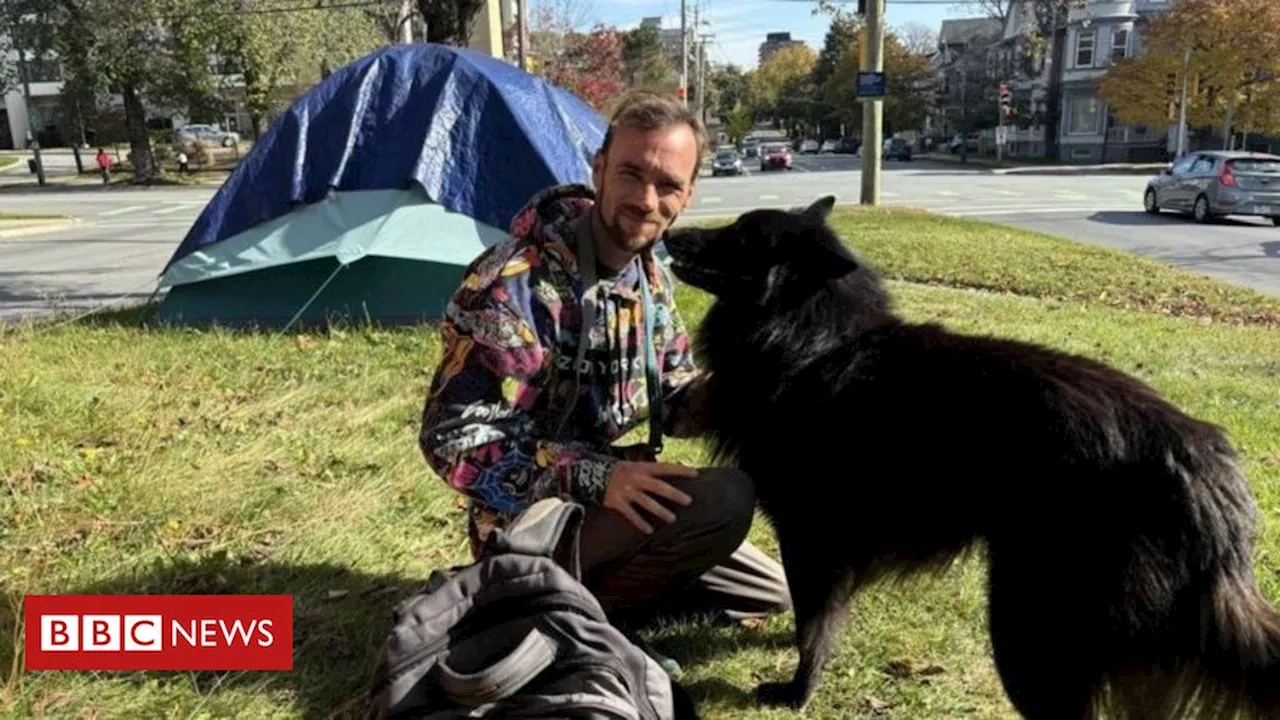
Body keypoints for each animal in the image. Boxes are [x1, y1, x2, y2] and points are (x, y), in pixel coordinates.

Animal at [660, 193, 1280, 712]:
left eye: (742, 234)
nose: (669, 234)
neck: (810, 340)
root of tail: (1200, 458)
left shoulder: (812, 539)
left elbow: (815, 627)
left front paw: (797, 692)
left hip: (1023, 624)